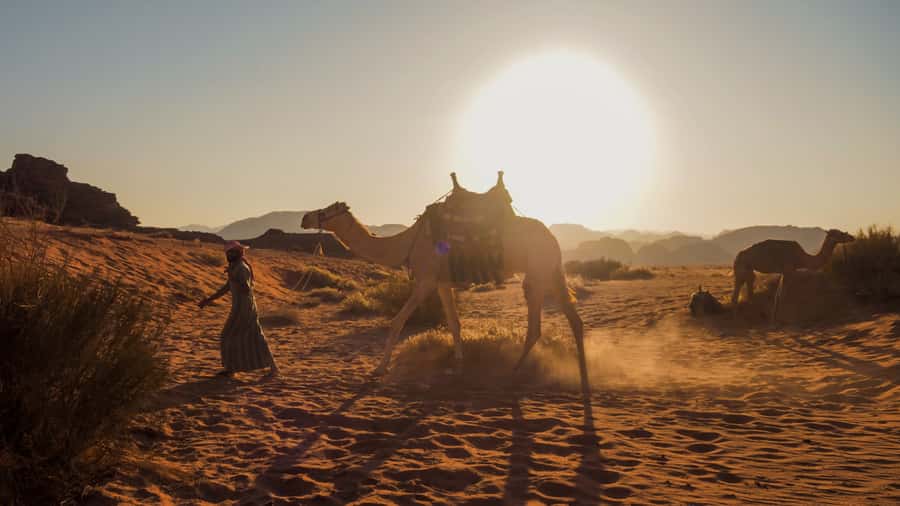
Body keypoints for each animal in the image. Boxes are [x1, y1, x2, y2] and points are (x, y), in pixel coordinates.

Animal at [300, 174, 590, 395]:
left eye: (325, 210)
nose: (304, 218)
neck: (407, 243)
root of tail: (552, 237)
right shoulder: (442, 283)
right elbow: (454, 323)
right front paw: (458, 366)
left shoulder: (427, 280)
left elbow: (397, 322)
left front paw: (379, 368)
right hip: (550, 272)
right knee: (573, 319)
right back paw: (583, 375)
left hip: (539, 272)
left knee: (537, 326)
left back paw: (515, 371)